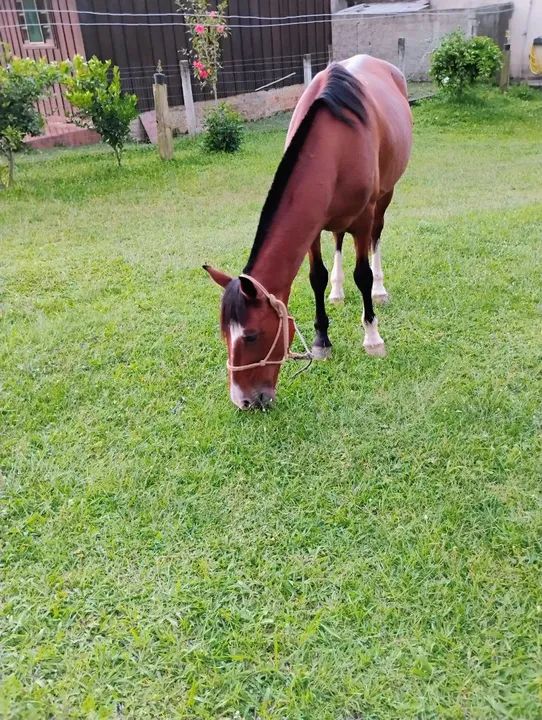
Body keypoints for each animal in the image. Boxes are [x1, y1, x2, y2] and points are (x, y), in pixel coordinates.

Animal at [204, 55, 413, 410]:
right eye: (223, 335)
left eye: (251, 335)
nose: (244, 401)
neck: (335, 145)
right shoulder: (313, 229)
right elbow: (317, 276)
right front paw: (321, 339)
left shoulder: (363, 217)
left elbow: (363, 275)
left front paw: (372, 337)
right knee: (338, 242)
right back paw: (338, 292)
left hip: (384, 198)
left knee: (376, 239)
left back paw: (379, 291)